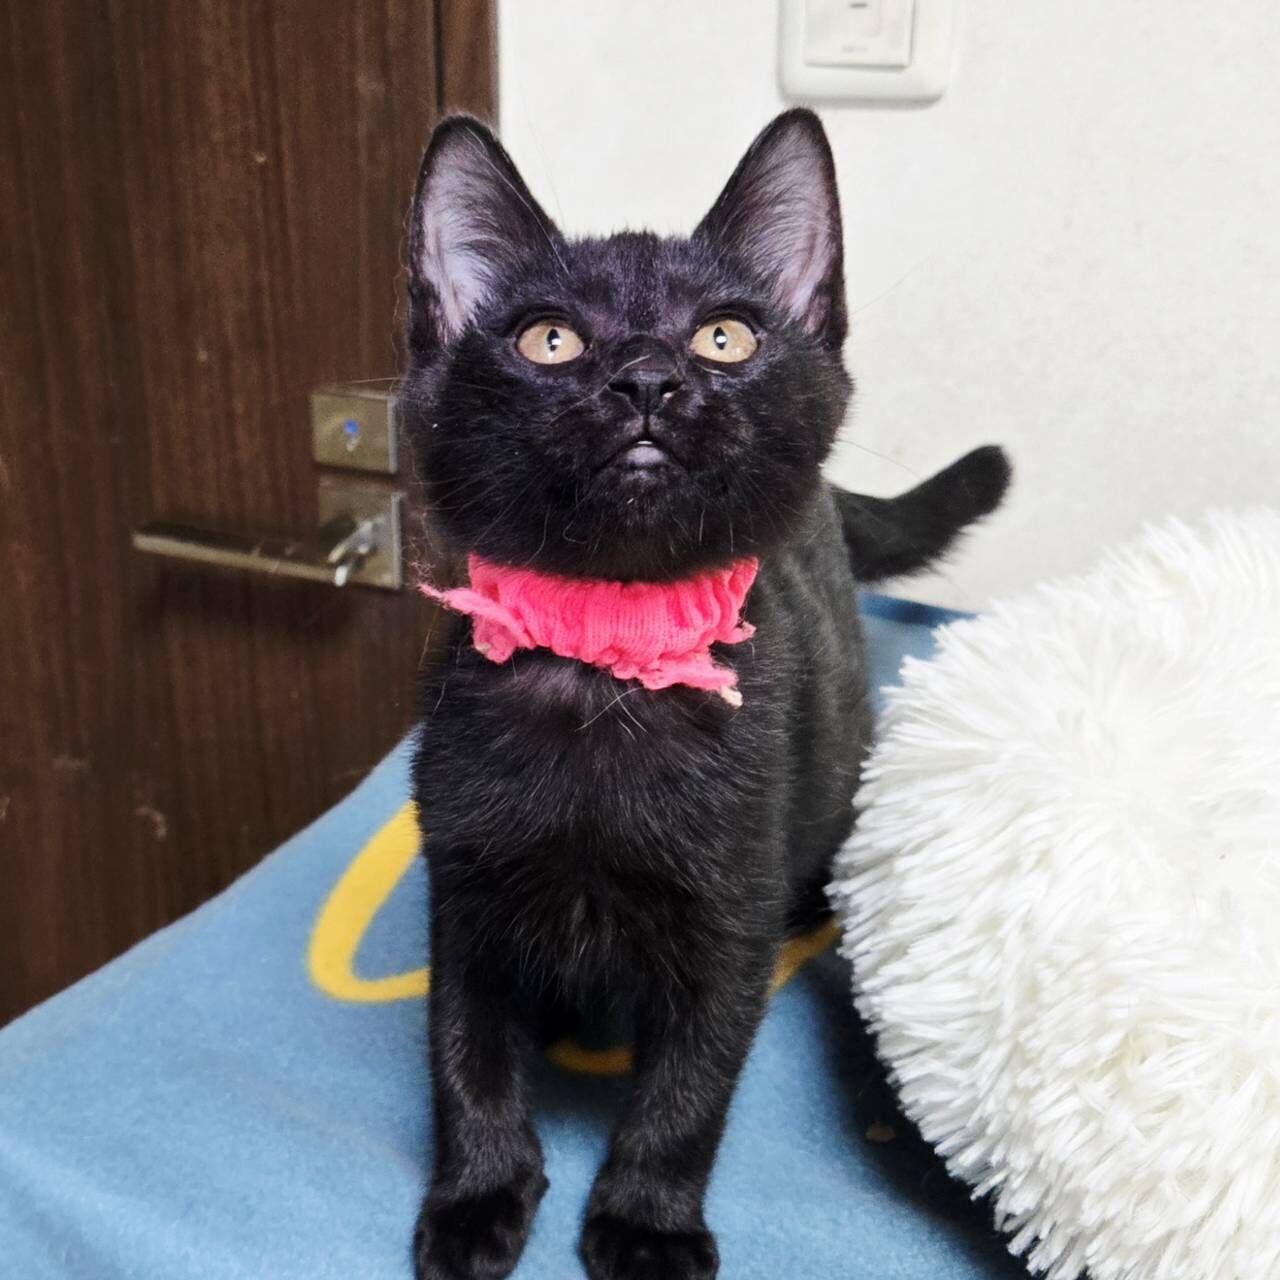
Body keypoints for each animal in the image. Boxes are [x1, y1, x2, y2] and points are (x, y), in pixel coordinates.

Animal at [400, 108, 1009, 1280]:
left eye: (724, 338)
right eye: (550, 341)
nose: (644, 378)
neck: (607, 665)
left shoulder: (729, 921)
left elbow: (687, 1090)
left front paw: (644, 1223)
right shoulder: (461, 885)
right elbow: (464, 1051)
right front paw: (477, 1197)